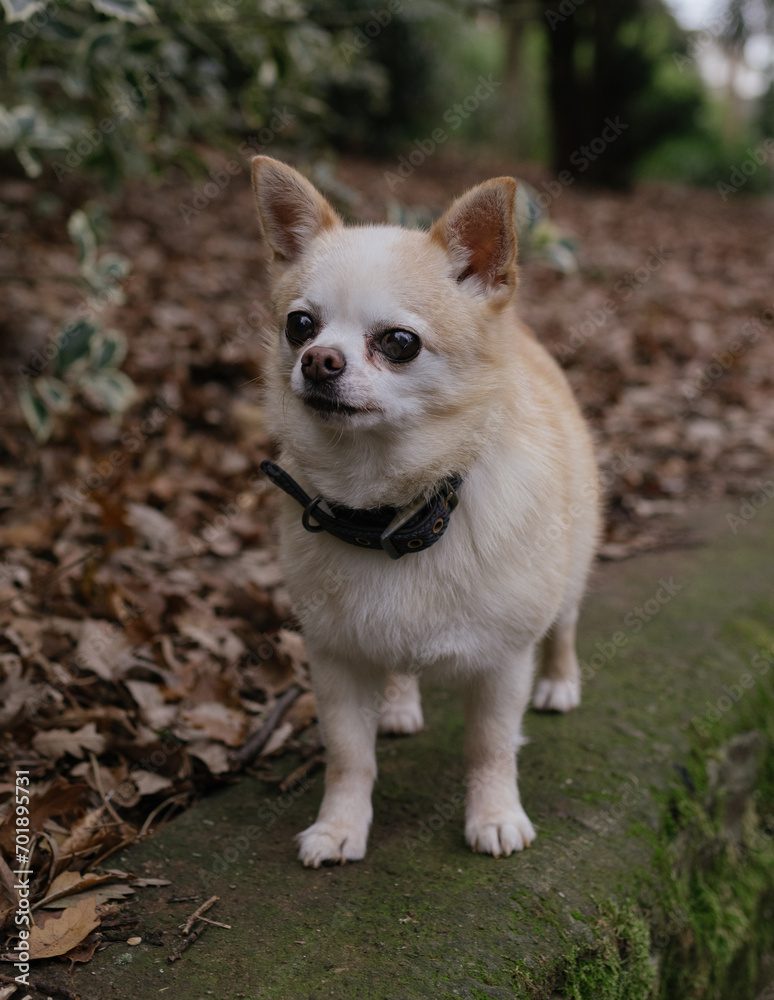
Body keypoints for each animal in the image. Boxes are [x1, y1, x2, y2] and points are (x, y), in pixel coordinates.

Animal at [252, 158, 604, 868]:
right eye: (299, 326)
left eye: (399, 342)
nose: (317, 360)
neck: (393, 513)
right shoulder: (336, 659)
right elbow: (348, 755)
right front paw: (339, 826)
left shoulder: (503, 664)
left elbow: (490, 748)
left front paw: (494, 815)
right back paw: (398, 704)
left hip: (571, 570)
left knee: (565, 625)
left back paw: (560, 684)